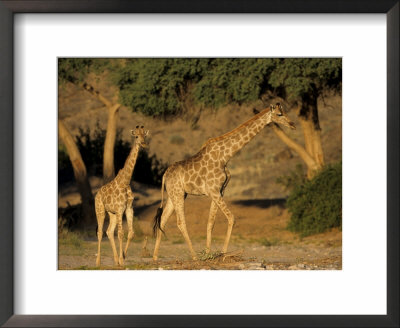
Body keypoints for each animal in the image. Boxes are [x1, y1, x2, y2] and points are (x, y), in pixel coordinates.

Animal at [95, 125, 150, 266]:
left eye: (145, 135)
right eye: (136, 136)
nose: (143, 144)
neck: (125, 182)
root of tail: (97, 194)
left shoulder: (129, 208)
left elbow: (131, 233)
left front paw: (123, 258)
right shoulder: (120, 209)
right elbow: (120, 233)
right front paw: (121, 259)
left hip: (112, 213)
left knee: (109, 231)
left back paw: (115, 260)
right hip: (100, 210)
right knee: (100, 232)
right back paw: (98, 262)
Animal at [153, 103, 296, 262]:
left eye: (284, 112)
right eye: (279, 114)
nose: (292, 124)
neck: (225, 156)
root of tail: (165, 175)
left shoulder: (219, 191)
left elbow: (210, 222)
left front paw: (209, 253)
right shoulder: (214, 191)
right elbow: (231, 218)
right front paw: (223, 254)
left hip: (176, 194)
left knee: (163, 219)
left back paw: (155, 257)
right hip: (177, 194)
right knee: (180, 222)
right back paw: (194, 256)